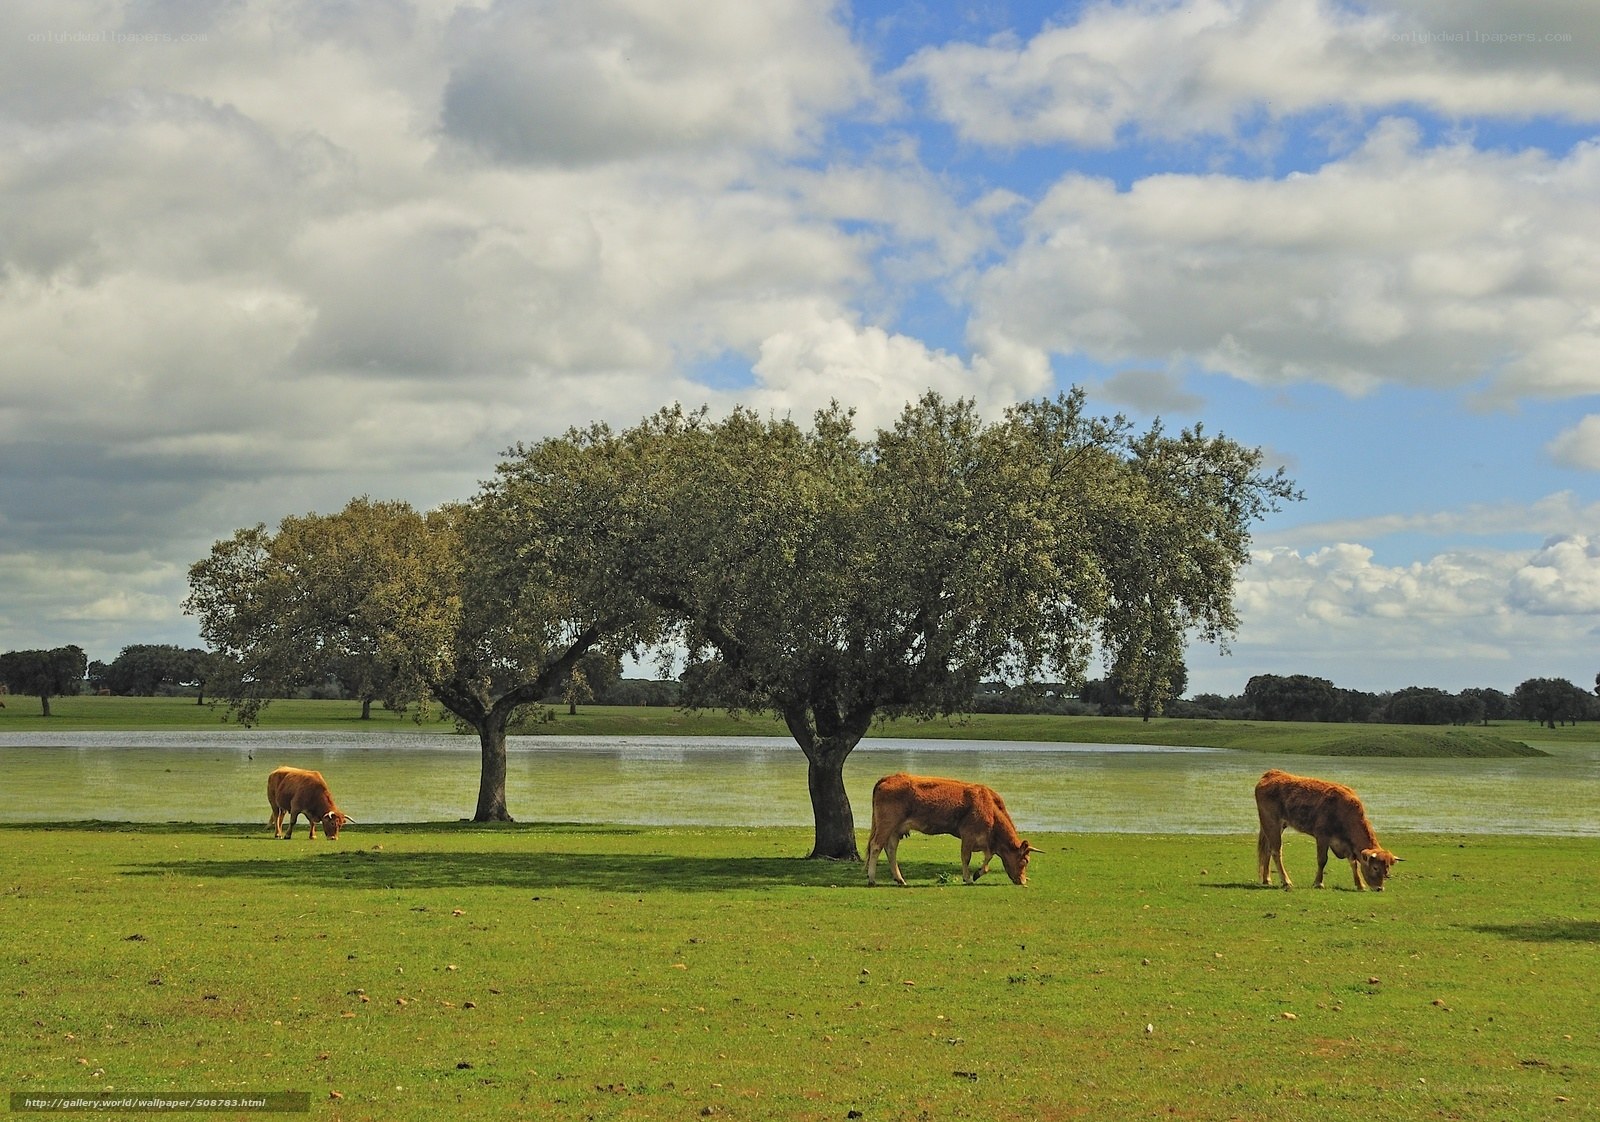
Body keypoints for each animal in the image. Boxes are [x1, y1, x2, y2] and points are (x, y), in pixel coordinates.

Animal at [866, 772, 1038, 887]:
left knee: (890, 849)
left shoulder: (985, 842)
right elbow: (966, 857)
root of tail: (889, 777)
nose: (1023, 881)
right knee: (876, 846)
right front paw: (968, 878)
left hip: (895, 829)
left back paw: (900, 879)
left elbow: (987, 860)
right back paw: (872, 879)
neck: (990, 807)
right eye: (1025, 861)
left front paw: (977, 873)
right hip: (886, 824)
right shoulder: (968, 835)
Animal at [1255, 768, 1397, 891]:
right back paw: (1286, 881)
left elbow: (1353, 863)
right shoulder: (1322, 837)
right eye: (1375, 868)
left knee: (1267, 849)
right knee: (1276, 851)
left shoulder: (1345, 844)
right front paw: (1318, 883)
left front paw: (1360, 884)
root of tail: (1272, 774)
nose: (1379, 888)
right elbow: (1322, 860)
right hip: (1272, 823)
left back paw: (1267, 879)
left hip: (1275, 826)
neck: (1344, 810)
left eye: (1387, 869)